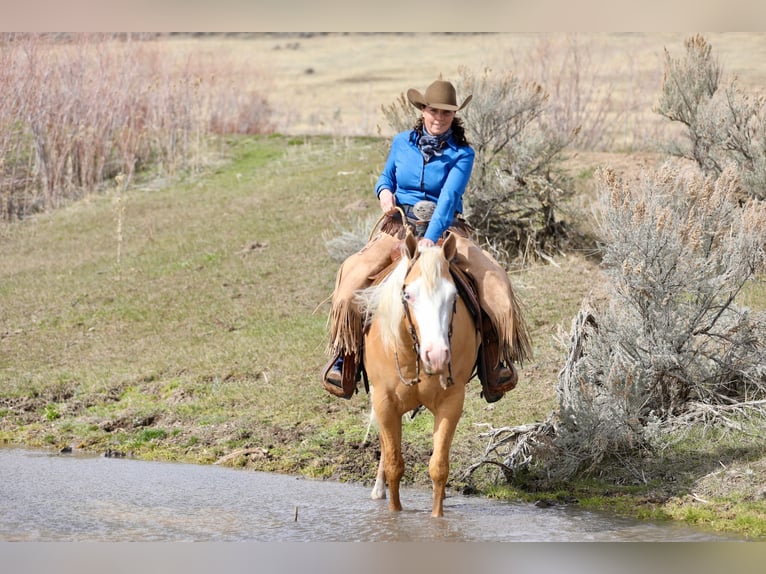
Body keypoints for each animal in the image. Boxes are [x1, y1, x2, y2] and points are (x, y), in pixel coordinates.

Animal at [355, 230, 481, 517]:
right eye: (409, 295)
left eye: (453, 297)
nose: (437, 356)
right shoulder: (385, 402)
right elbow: (394, 465)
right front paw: (394, 514)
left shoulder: (451, 402)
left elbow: (439, 467)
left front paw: (437, 518)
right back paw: (378, 490)